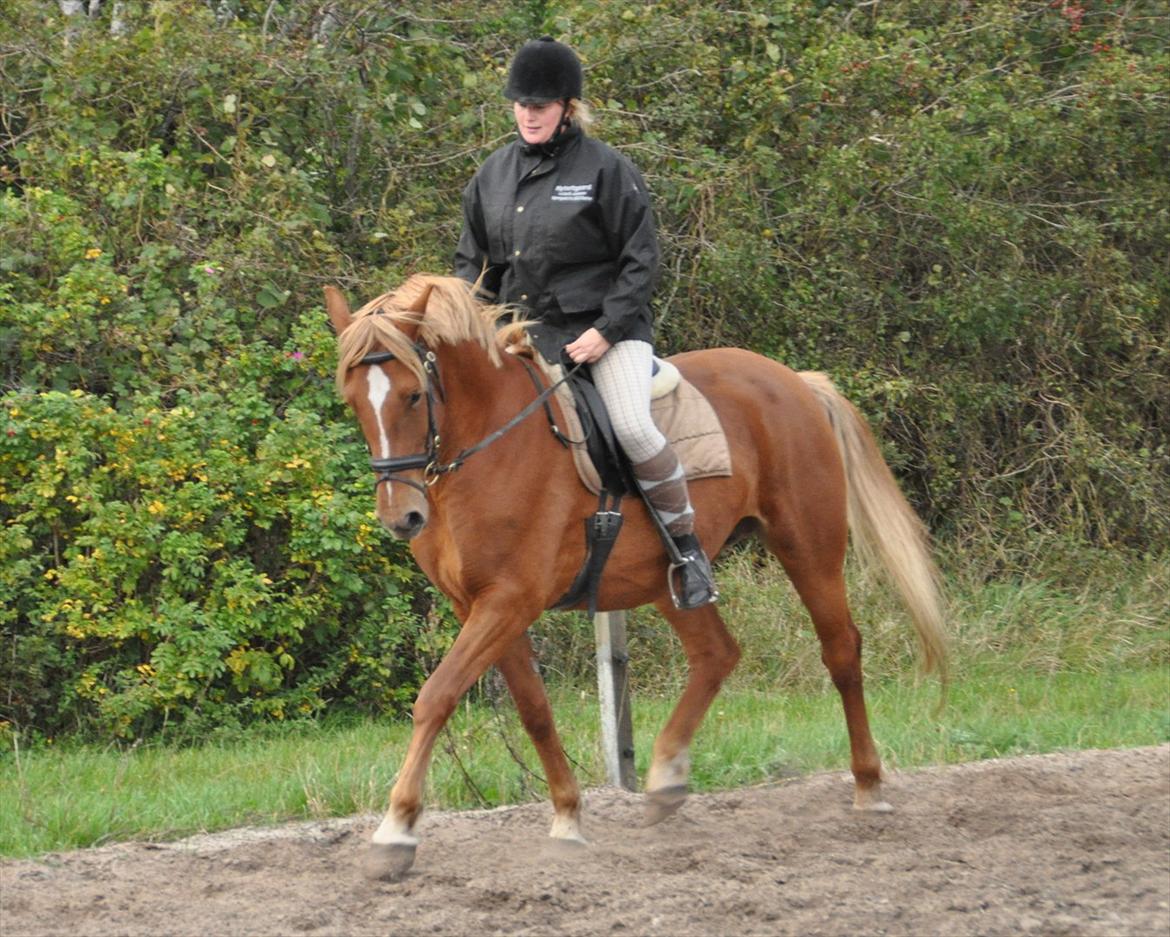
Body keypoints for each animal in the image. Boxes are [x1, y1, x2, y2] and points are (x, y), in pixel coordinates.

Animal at [325, 270, 945, 879]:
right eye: (353, 402)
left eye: (412, 395)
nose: (402, 518)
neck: (490, 444)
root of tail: (792, 380)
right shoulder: (480, 605)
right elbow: (534, 711)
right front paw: (567, 817)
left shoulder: (509, 599)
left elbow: (436, 696)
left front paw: (395, 832)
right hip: (666, 578)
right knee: (717, 653)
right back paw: (666, 779)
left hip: (807, 547)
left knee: (840, 648)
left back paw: (869, 787)